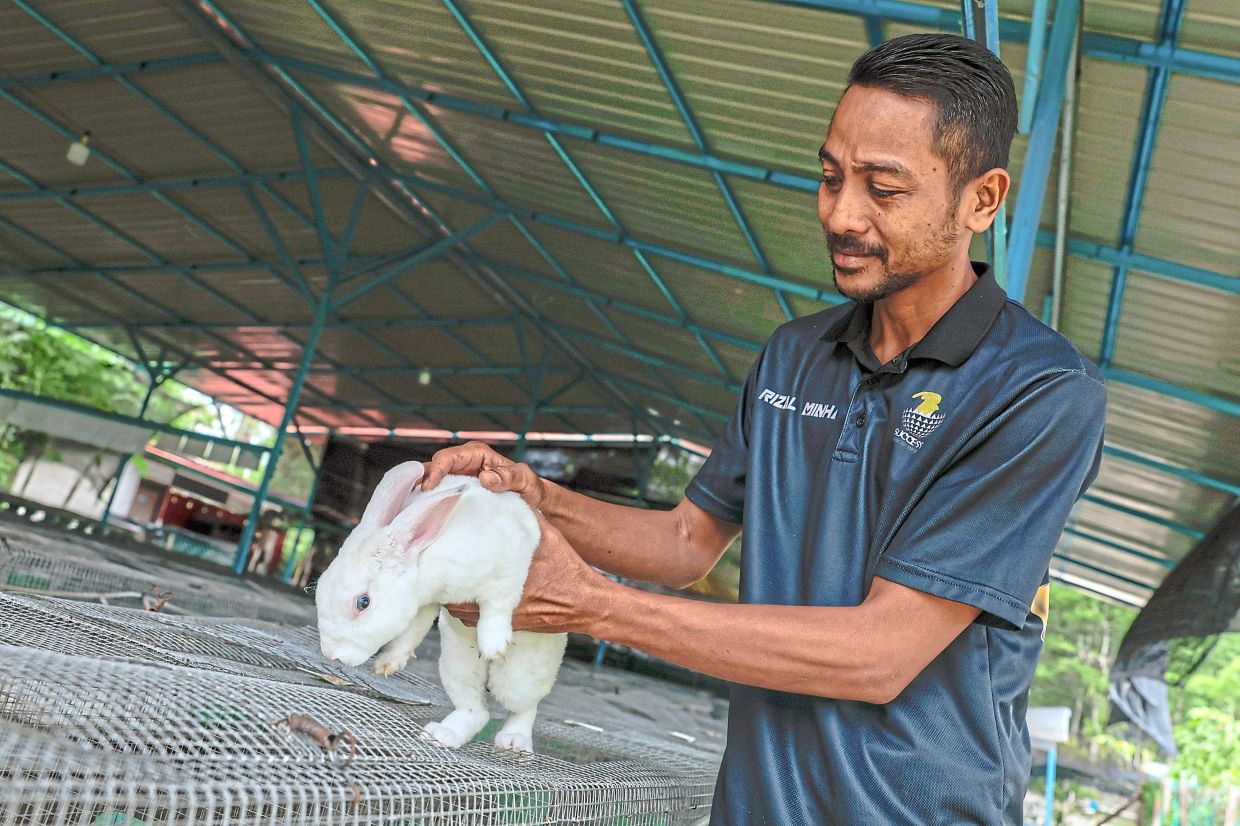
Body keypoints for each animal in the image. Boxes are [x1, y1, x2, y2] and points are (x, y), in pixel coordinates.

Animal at [315, 460, 568, 753]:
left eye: (363, 602)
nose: (330, 653)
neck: (424, 553)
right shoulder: (426, 602)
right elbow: (412, 630)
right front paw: (388, 663)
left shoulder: (509, 568)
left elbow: (498, 604)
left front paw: (493, 645)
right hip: (456, 666)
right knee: (476, 710)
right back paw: (443, 735)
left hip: (519, 678)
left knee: (524, 707)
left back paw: (515, 741)